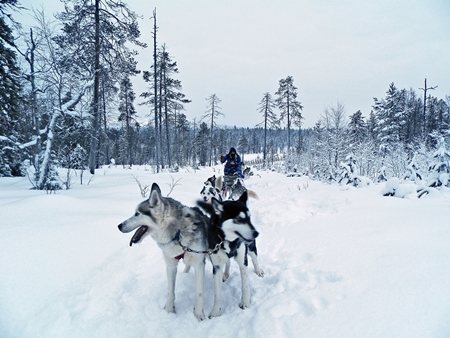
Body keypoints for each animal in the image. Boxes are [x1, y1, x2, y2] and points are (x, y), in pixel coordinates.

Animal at [118, 184, 209, 320]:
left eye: (137, 214)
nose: (119, 226)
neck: (177, 233)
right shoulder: (170, 265)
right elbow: (170, 291)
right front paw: (169, 310)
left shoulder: (199, 264)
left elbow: (199, 293)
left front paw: (198, 314)